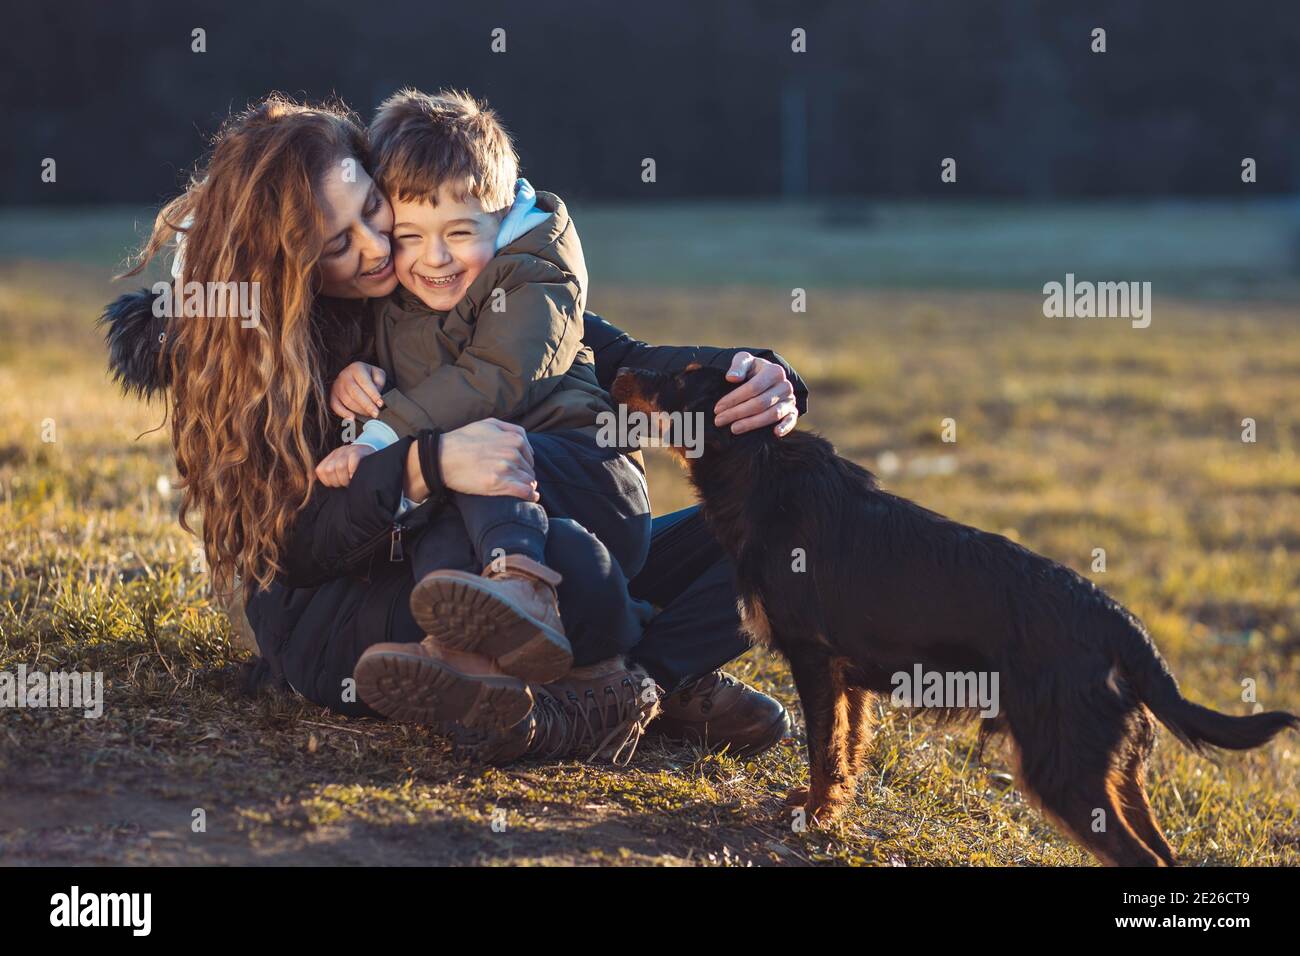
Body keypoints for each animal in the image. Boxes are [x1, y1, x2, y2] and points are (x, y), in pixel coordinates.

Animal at [611, 361, 1300, 868]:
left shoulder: (812, 658)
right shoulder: (846, 678)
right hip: (1111, 772)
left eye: (679, 378)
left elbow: (823, 748)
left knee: (1142, 859)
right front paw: (830, 810)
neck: (759, 468)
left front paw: (812, 816)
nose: (617, 368)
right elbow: (846, 749)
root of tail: (1116, 620)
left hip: (1064, 768)